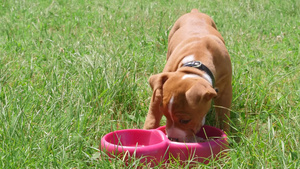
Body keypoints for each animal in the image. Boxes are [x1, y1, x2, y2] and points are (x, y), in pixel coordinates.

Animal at [144, 8, 232, 142]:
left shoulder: (225, 92)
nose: (172, 138)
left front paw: (225, 135)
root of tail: (195, 12)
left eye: (185, 120)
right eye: (165, 115)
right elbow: (153, 116)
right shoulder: (158, 91)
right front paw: (148, 132)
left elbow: (223, 115)